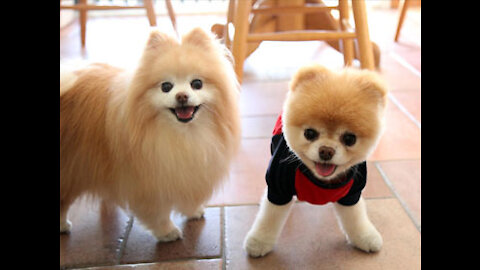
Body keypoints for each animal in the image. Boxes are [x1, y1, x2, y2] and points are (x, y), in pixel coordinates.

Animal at [60, 27, 240, 242]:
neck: (182, 135)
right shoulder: (147, 181)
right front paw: (167, 232)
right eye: (166, 87)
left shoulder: (187, 170)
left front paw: (193, 210)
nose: (182, 96)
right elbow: (158, 211)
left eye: (197, 83)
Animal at [246, 64, 388, 256]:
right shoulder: (278, 187)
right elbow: (270, 216)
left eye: (349, 139)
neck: (320, 180)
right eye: (310, 133)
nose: (326, 151)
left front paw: (364, 237)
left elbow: (356, 217)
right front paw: (259, 241)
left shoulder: (352, 192)